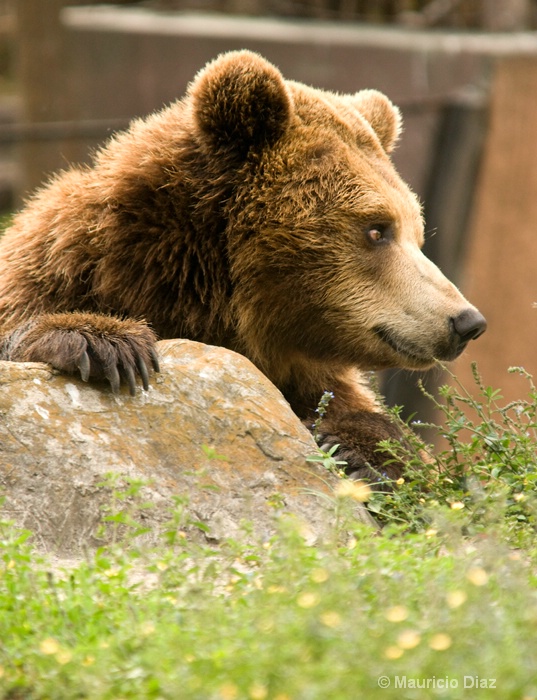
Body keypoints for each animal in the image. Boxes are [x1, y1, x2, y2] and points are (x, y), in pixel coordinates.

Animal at [0, 52, 486, 484]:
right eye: (376, 229)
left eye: (417, 233)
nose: (467, 321)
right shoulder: (51, 274)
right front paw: (106, 345)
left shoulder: (310, 375)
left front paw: (358, 447)